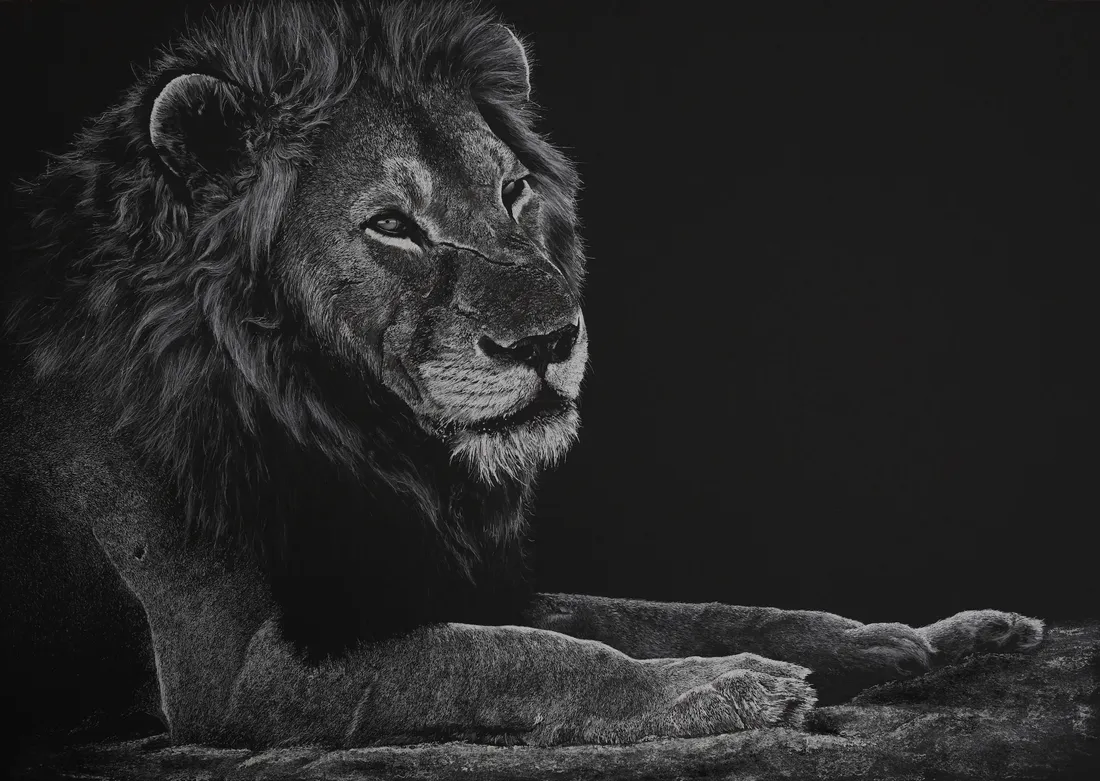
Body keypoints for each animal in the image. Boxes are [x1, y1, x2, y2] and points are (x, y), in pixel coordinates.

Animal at [0, 0, 1045, 749]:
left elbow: (670, 610)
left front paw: (911, 639)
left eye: (512, 190)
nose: (548, 340)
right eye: (392, 224)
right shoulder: (236, 675)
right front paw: (718, 687)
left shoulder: (440, 572)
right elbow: (516, 655)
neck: (355, 434)